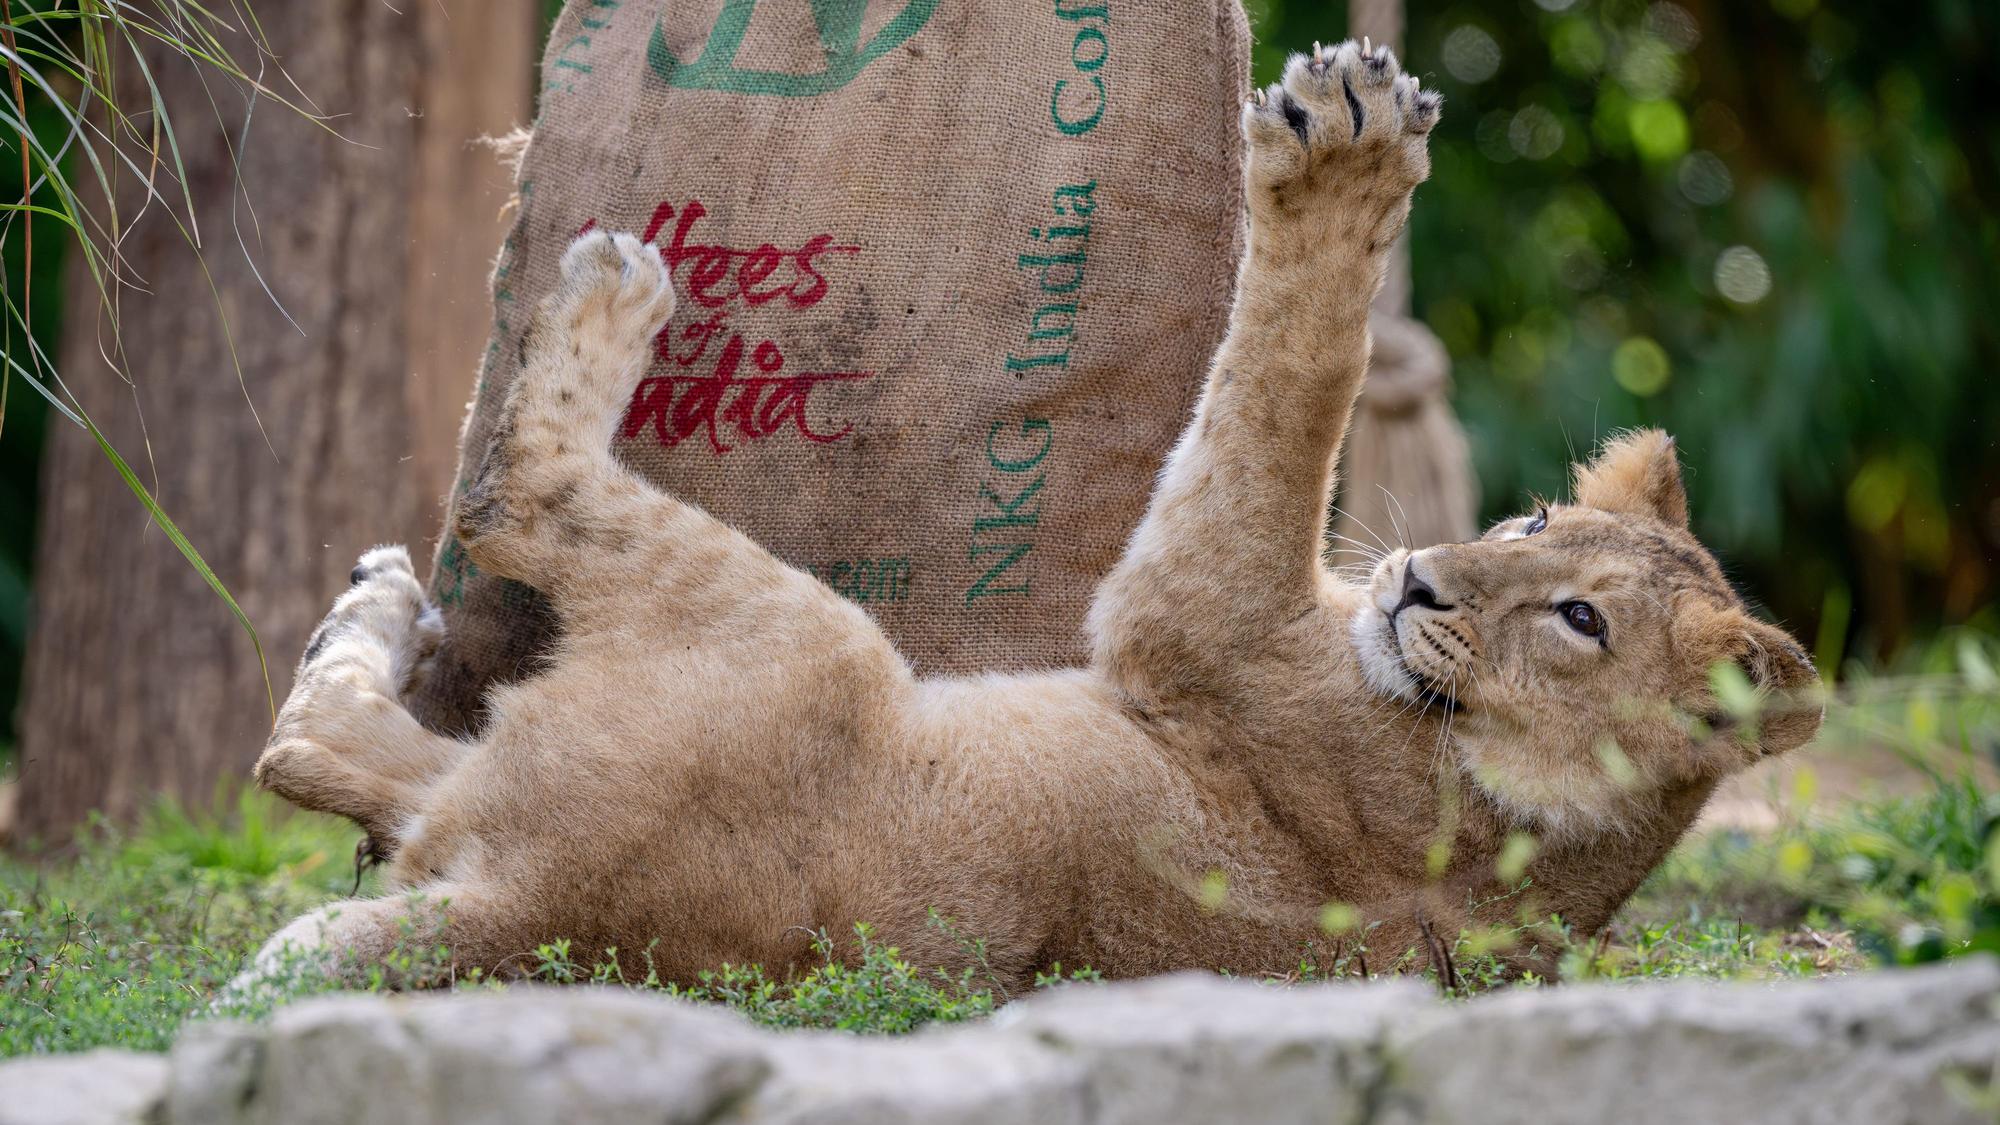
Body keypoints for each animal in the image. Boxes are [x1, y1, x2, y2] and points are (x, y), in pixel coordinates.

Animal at [240, 41, 1818, 994]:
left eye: (1580, 621)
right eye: (1536, 521)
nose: (1419, 581)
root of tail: (536, 912)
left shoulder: (1200, 611)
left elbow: (1295, 381)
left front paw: (1348, 150)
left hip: (803, 636)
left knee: (516, 486)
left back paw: (612, 296)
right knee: (313, 746)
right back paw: (371, 605)